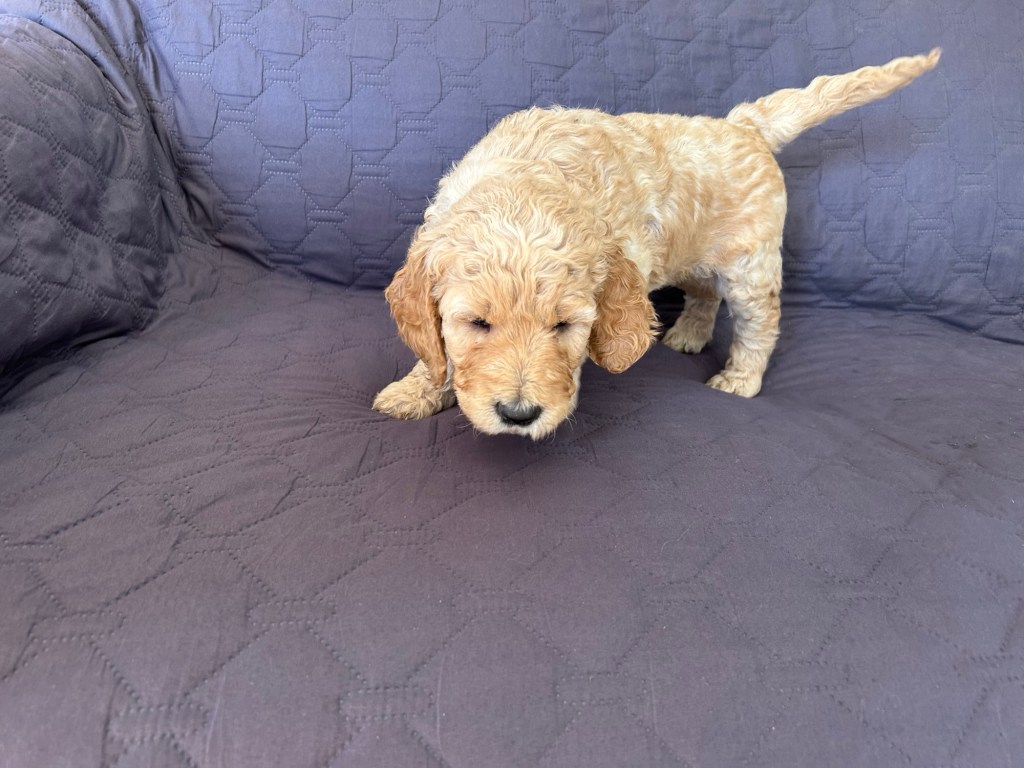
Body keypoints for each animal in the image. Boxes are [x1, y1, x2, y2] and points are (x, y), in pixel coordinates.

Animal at [373, 49, 941, 439]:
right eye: (477, 324)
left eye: (565, 327)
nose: (519, 415)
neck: (530, 182)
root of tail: (745, 124)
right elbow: (435, 352)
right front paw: (416, 389)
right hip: (691, 252)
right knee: (704, 293)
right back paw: (689, 334)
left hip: (751, 263)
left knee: (760, 322)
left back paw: (741, 377)